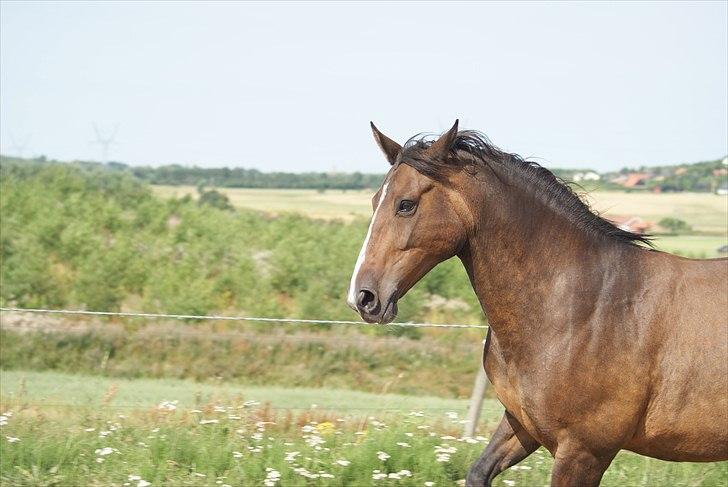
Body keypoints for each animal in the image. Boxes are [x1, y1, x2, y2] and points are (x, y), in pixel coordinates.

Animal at [346, 120, 728, 486]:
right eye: (375, 201)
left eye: (405, 204)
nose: (363, 298)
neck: (579, 307)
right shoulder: (522, 423)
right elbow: (478, 472)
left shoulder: (583, 452)